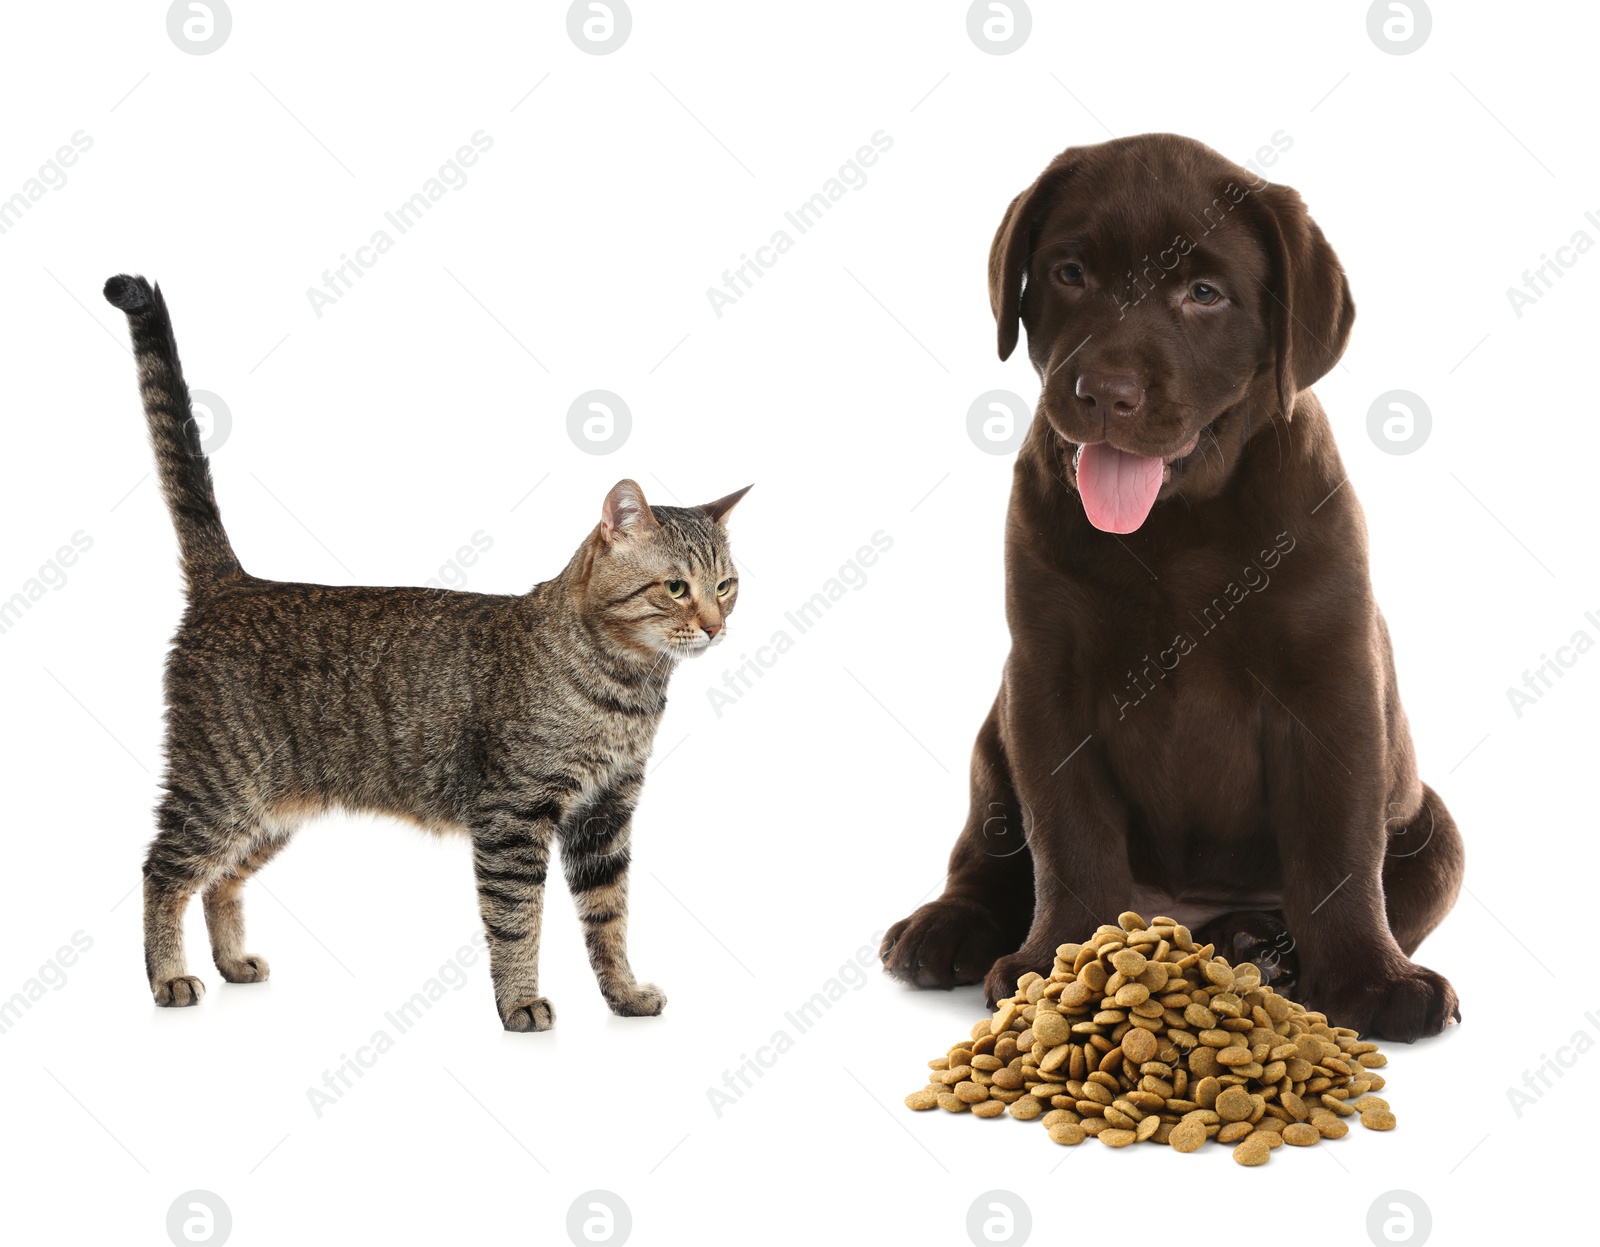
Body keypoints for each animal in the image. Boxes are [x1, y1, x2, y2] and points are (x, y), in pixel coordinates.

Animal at [101, 275, 748, 1030]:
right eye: (676, 587)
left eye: (727, 585)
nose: (716, 625)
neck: (625, 688)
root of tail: (236, 582)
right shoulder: (513, 817)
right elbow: (518, 922)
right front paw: (519, 1001)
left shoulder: (605, 819)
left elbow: (608, 919)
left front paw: (623, 994)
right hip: (219, 786)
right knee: (163, 870)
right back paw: (168, 976)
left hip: (267, 812)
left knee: (219, 879)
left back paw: (231, 961)